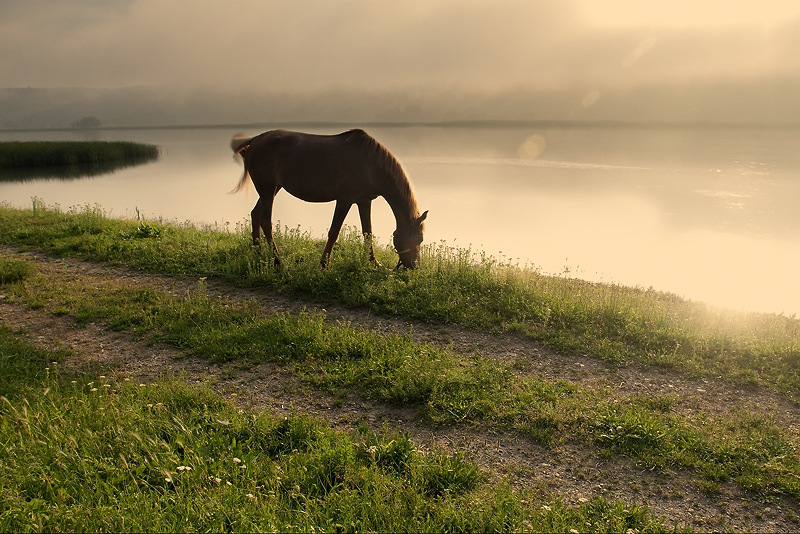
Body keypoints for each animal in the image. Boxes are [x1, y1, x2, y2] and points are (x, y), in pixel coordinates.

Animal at [231, 129, 428, 270]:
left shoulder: (364, 201)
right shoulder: (345, 200)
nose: (414, 266)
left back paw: (258, 252)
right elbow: (334, 232)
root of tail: (256, 139)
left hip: (270, 190)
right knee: (266, 222)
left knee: (255, 214)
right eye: (418, 239)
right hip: (268, 190)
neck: (371, 164)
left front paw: (374, 263)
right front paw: (324, 264)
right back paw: (278, 260)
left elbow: (368, 232)